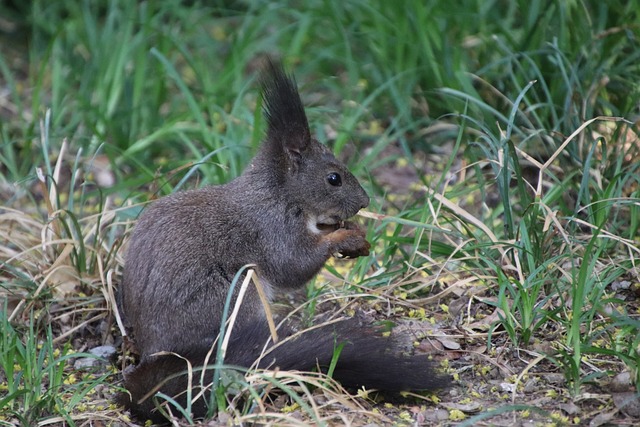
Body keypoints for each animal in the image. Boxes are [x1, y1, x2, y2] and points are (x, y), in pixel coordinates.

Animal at [117, 60, 448, 424]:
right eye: (334, 178)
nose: (364, 202)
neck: (279, 193)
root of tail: (158, 354)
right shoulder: (272, 229)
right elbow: (293, 265)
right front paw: (344, 236)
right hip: (235, 296)